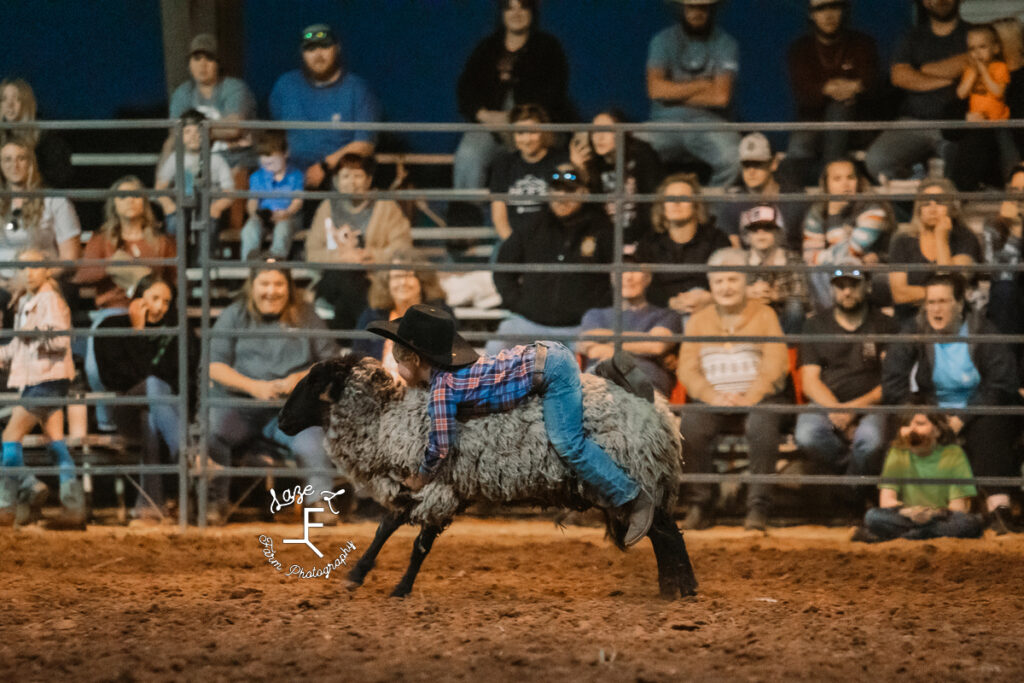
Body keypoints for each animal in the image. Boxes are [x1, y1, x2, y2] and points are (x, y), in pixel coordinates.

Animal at [276, 352, 700, 598]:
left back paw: (679, 589)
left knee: (664, 530)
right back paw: (677, 588)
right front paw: (362, 575)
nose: (280, 421)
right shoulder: (433, 487)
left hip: (637, 477)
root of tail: (658, 411)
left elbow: (414, 542)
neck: (385, 420)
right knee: (664, 533)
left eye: (313, 381)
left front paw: (395, 587)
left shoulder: (438, 486)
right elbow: (391, 528)